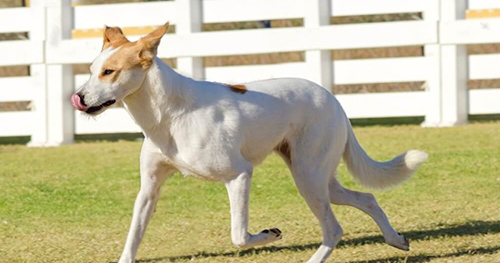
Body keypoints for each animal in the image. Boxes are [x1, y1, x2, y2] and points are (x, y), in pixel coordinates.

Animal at [70, 23, 428, 262]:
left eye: (109, 72)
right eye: (91, 70)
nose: (79, 98)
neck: (168, 113)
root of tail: (333, 99)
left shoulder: (239, 175)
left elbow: (239, 235)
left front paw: (270, 235)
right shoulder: (149, 188)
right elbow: (133, 237)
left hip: (308, 178)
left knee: (334, 228)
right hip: (319, 178)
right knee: (366, 198)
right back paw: (396, 240)